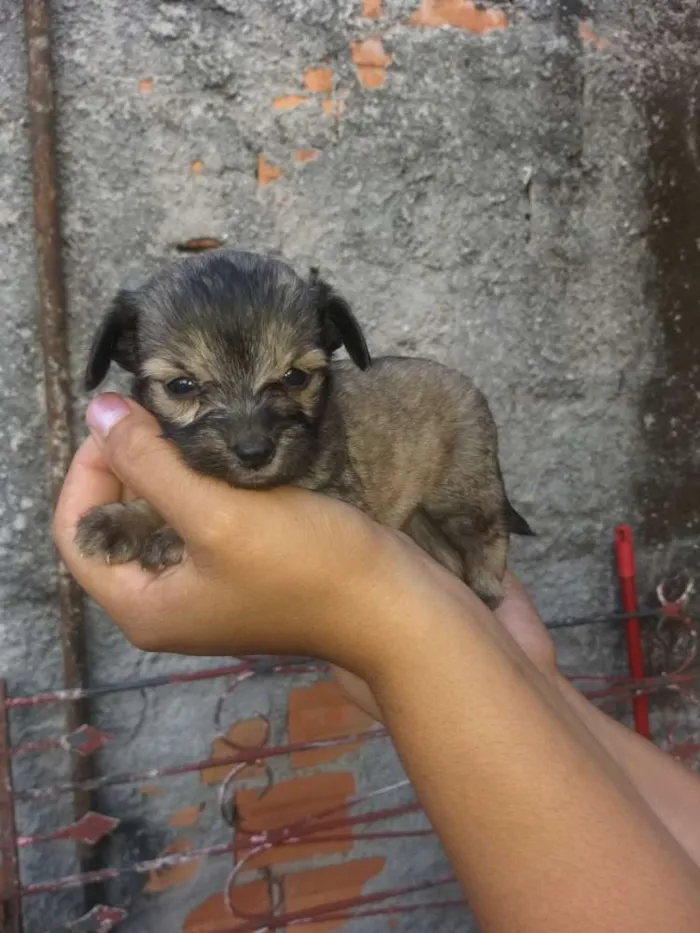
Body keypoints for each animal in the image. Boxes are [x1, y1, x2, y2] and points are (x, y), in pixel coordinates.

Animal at [76, 248, 532, 608]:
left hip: (462, 494)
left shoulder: (335, 492)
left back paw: (486, 589)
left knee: (491, 535)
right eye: (181, 386)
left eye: (295, 377)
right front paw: (125, 520)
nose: (255, 452)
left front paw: (172, 535)